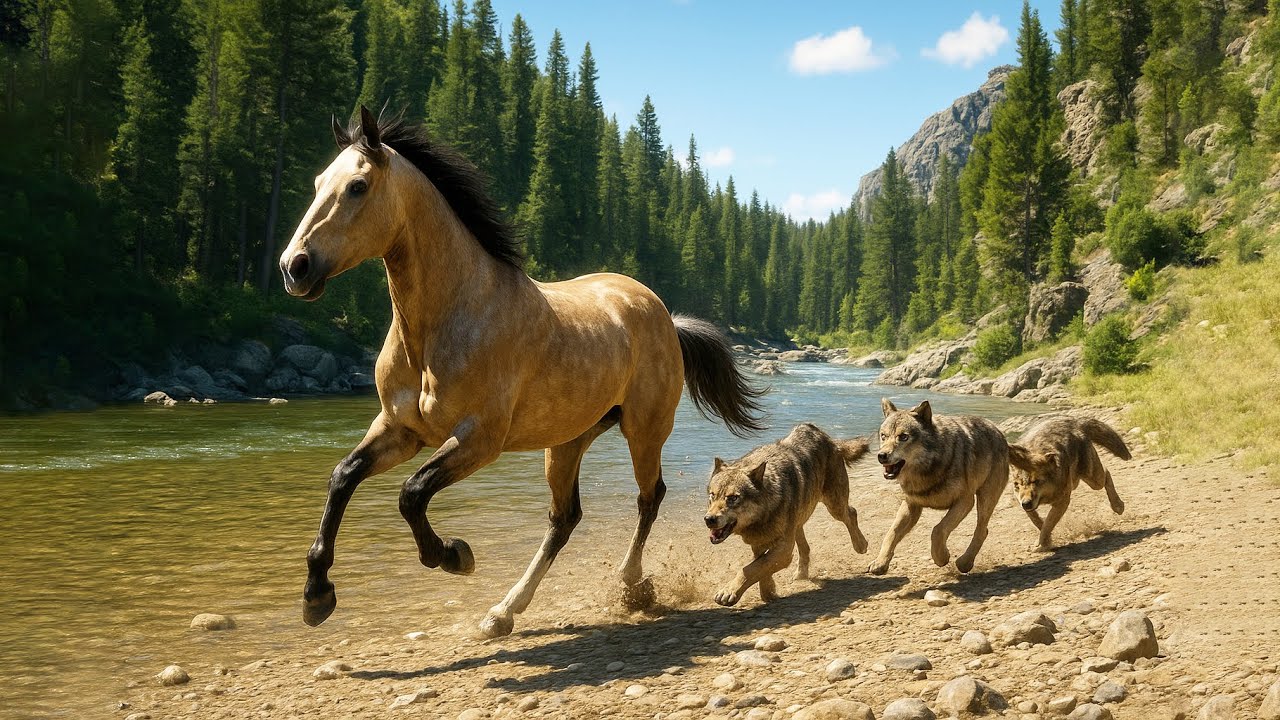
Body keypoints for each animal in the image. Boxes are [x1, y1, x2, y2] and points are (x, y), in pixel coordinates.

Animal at [278, 105, 766, 637]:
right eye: (319, 182)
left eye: (358, 186)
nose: (294, 267)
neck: (444, 324)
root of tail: (664, 315)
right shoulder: (400, 431)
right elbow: (343, 477)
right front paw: (316, 597)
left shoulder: (479, 440)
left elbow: (411, 494)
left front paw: (454, 555)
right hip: (567, 440)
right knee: (564, 518)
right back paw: (504, 610)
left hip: (643, 430)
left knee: (648, 497)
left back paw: (629, 582)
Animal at [704, 423, 870, 606]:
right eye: (712, 496)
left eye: (732, 498)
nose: (709, 519)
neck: (765, 511)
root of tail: (828, 438)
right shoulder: (759, 545)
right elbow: (760, 568)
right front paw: (768, 592)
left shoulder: (783, 550)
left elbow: (750, 569)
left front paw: (729, 592)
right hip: (798, 521)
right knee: (805, 547)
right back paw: (801, 575)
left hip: (834, 506)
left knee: (851, 513)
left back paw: (860, 545)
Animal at [869, 399, 1009, 575]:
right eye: (883, 436)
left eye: (903, 437)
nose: (881, 456)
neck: (927, 470)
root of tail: (998, 431)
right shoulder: (911, 505)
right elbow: (891, 533)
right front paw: (880, 562)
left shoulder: (965, 501)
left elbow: (938, 529)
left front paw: (941, 557)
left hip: (985, 499)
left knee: (982, 530)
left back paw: (964, 562)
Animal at [1007, 416, 1131, 550]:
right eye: (1017, 485)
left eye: (1036, 481)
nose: (1026, 503)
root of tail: (1075, 421)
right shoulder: (1022, 501)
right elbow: (1037, 521)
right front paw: (1047, 540)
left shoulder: (1063, 502)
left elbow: (1048, 524)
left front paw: (1042, 544)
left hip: (1094, 480)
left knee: (1107, 472)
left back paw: (1117, 505)